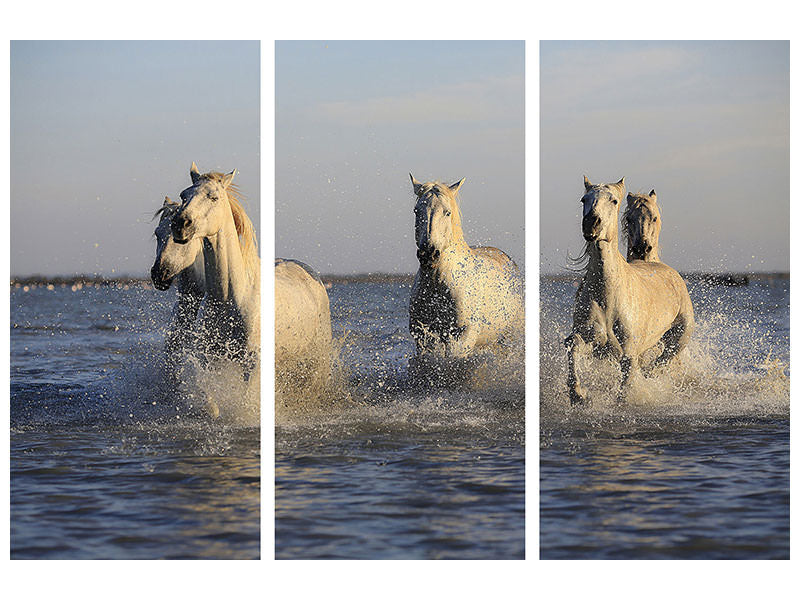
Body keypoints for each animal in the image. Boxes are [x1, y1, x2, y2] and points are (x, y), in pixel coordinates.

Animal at [406, 173, 524, 360]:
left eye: (447, 212)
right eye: (416, 211)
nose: (428, 254)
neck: (438, 284)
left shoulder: (461, 337)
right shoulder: (423, 336)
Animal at [564, 176, 692, 406]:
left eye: (614, 200)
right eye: (583, 199)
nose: (591, 224)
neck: (607, 295)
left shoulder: (628, 352)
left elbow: (627, 383)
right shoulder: (593, 340)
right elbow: (573, 345)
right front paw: (578, 394)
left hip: (679, 337)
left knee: (662, 361)